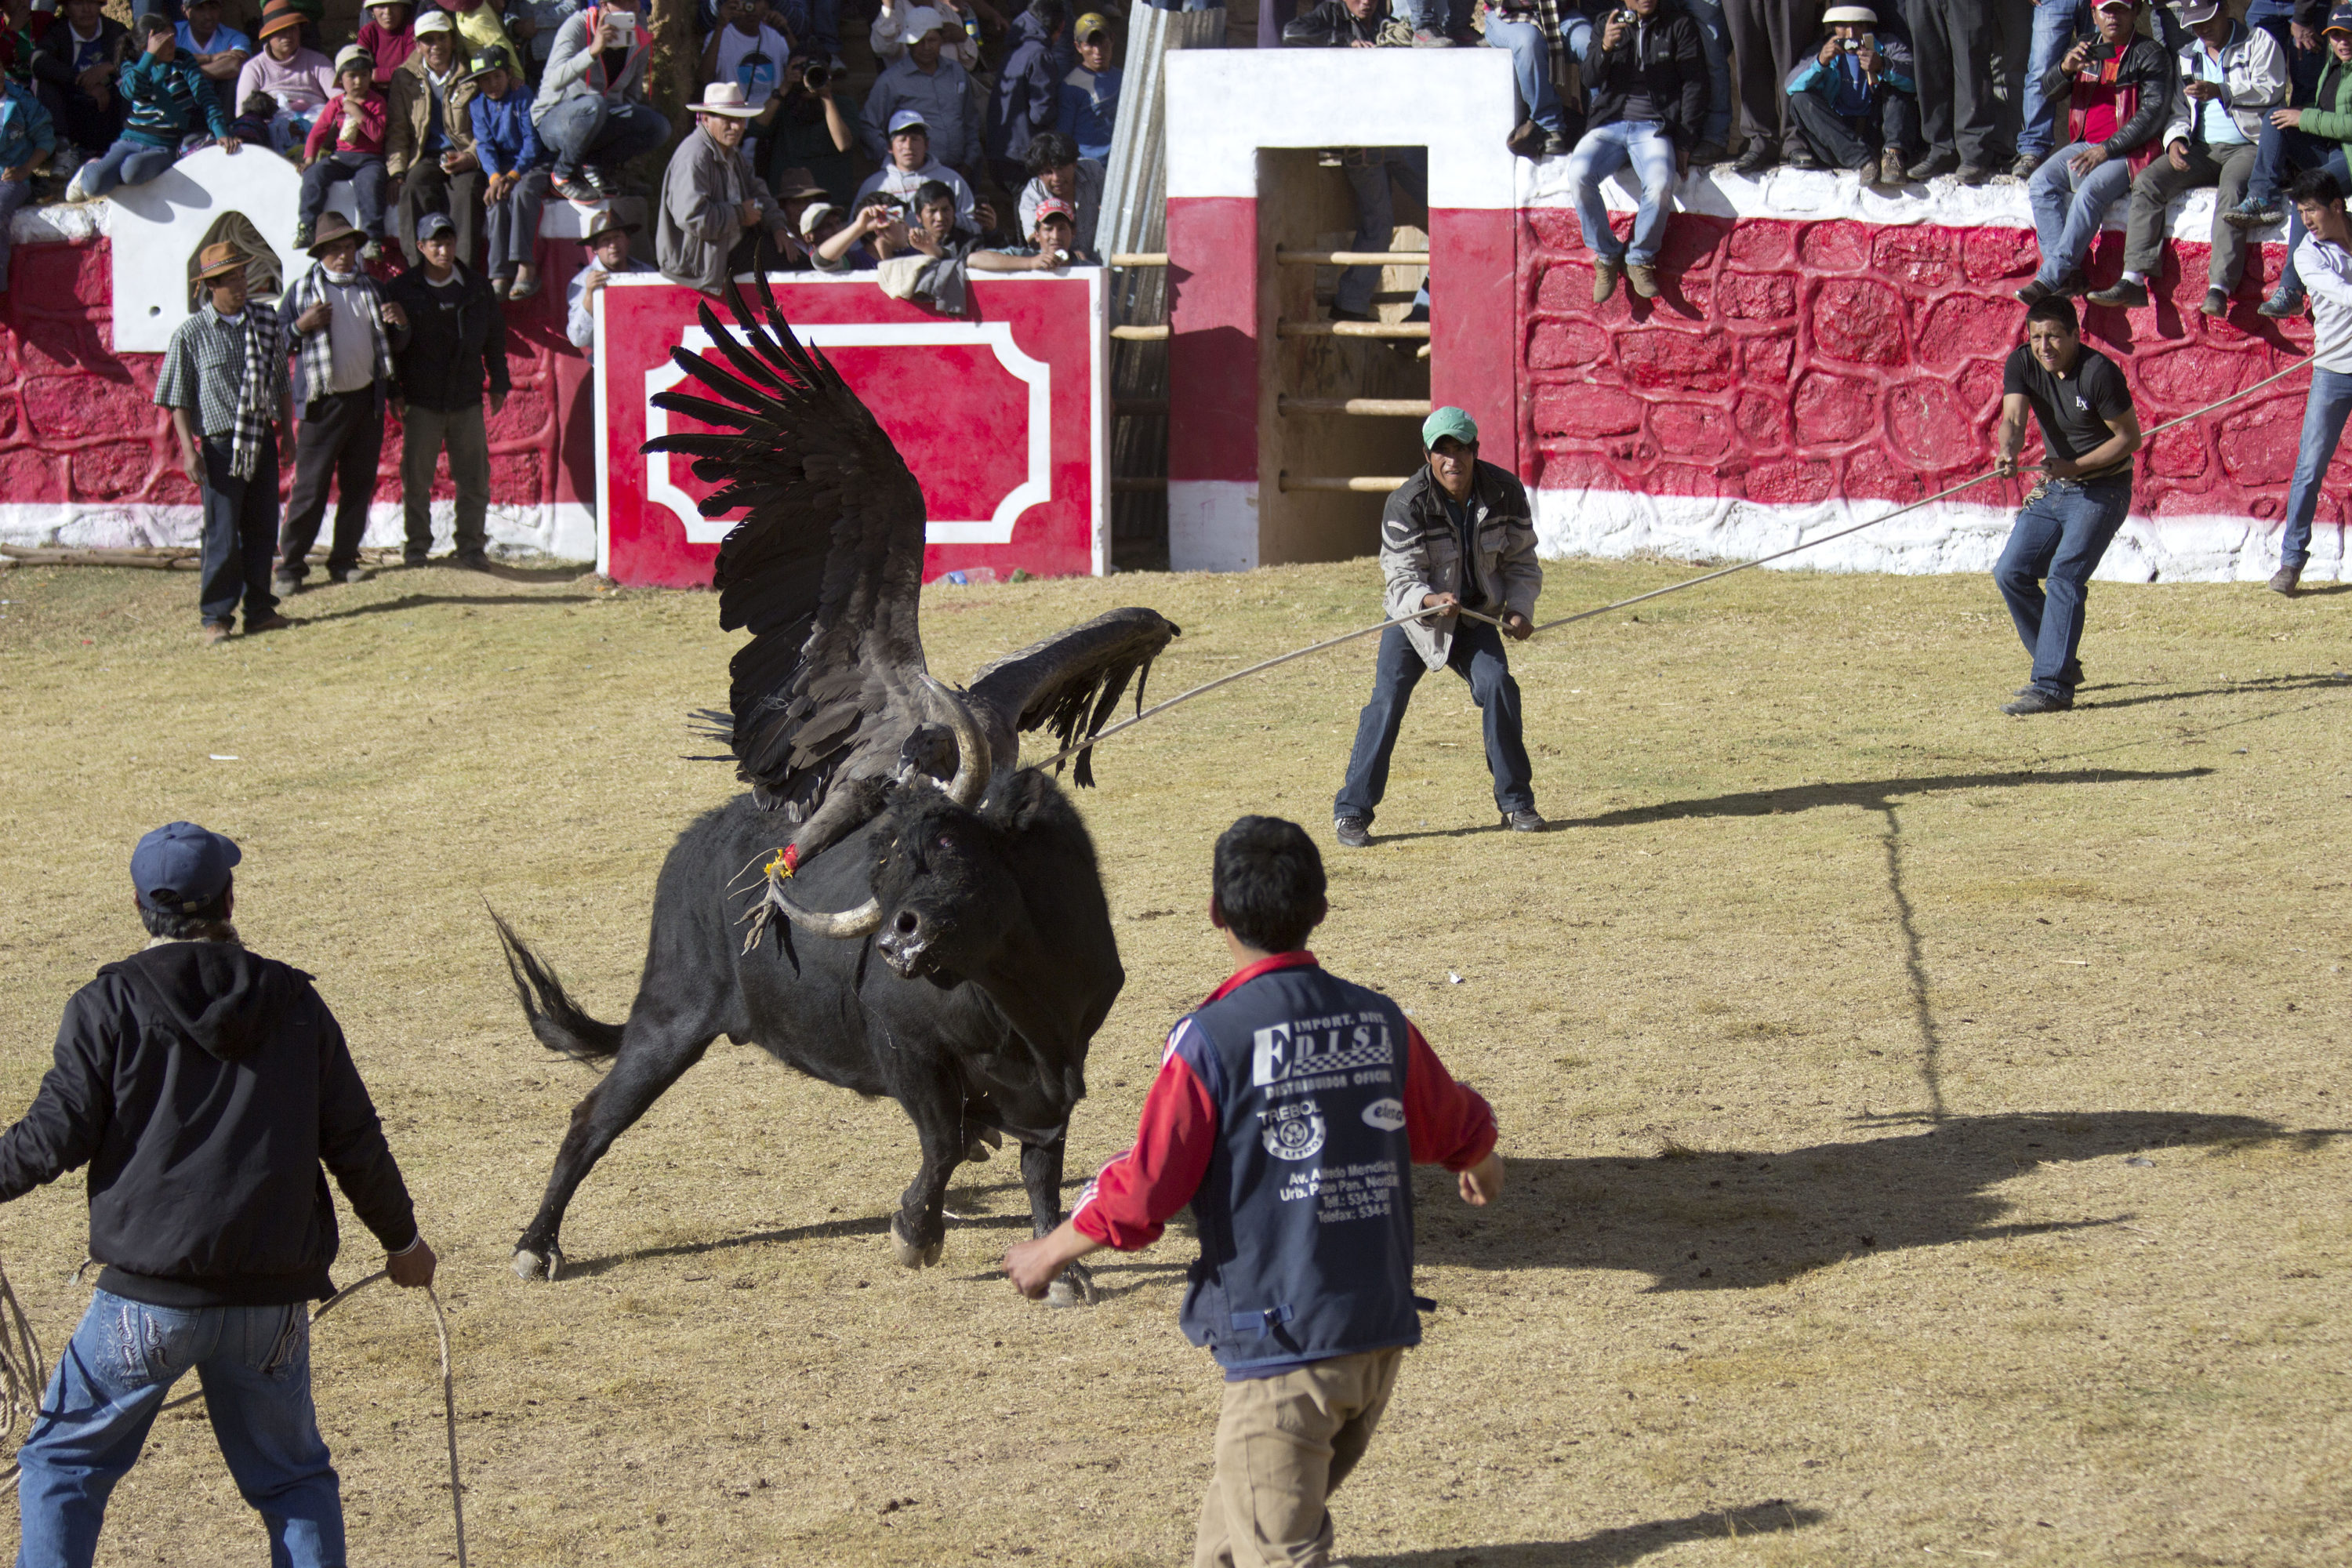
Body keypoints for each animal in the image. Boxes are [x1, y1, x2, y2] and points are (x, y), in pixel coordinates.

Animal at [487, 771, 1120, 1298]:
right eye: (881, 872)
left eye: (950, 844)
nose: (897, 941)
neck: (1023, 1009)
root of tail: (696, 840)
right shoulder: (907, 1048)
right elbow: (941, 1143)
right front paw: (914, 1233)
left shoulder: (1062, 1068)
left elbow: (1041, 1168)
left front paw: (1063, 1273)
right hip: (669, 1020)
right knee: (593, 1120)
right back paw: (535, 1248)